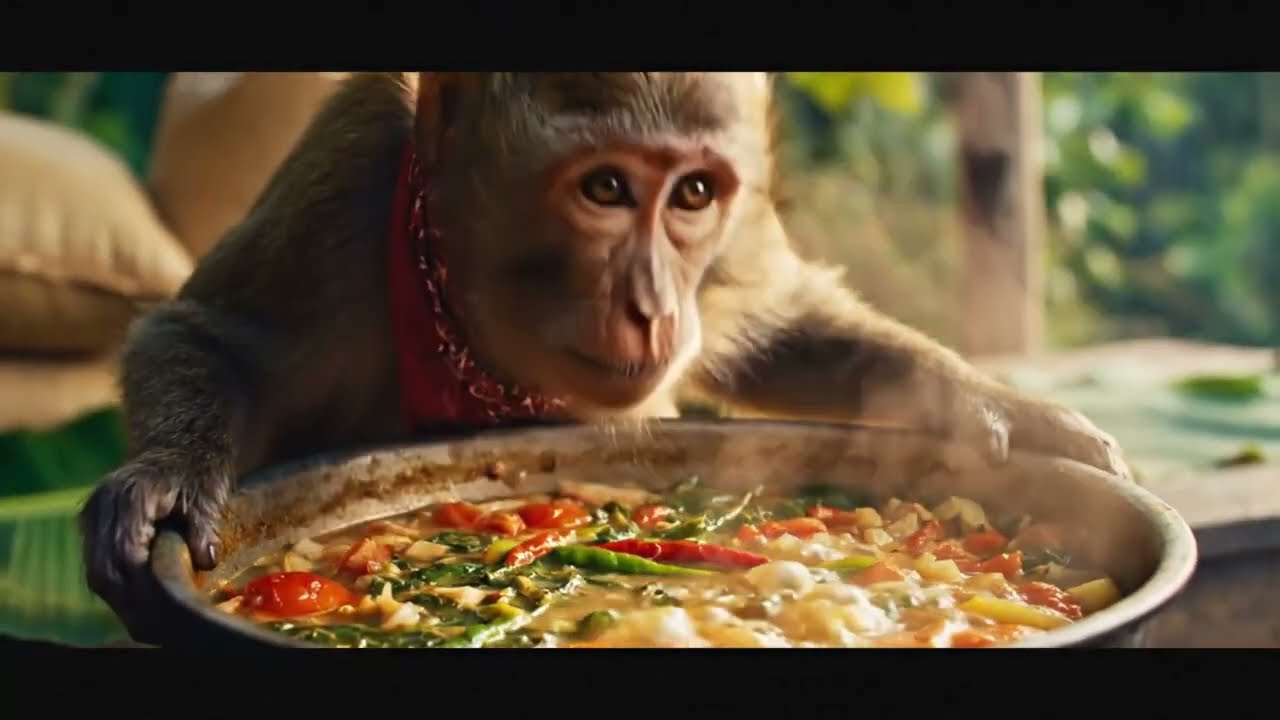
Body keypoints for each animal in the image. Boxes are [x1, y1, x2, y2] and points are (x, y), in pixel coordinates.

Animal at [78, 72, 1129, 643]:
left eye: (694, 194)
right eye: (606, 189)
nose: (654, 305)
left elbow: (776, 326)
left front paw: (996, 408)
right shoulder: (354, 164)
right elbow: (210, 335)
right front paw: (163, 481)